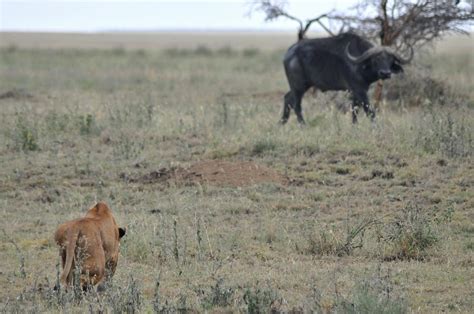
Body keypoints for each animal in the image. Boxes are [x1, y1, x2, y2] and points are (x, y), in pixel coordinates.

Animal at [282, 32, 412, 124]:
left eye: (391, 60)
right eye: (376, 59)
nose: (385, 73)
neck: (360, 63)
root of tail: (288, 53)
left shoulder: (356, 92)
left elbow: (355, 110)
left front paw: (355, 126)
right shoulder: (359, 90)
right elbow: (369, 111)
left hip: (301, 86)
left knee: (287, 98)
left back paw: (282, 122)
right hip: (299, 87)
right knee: (296, 105)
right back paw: (303, 125)